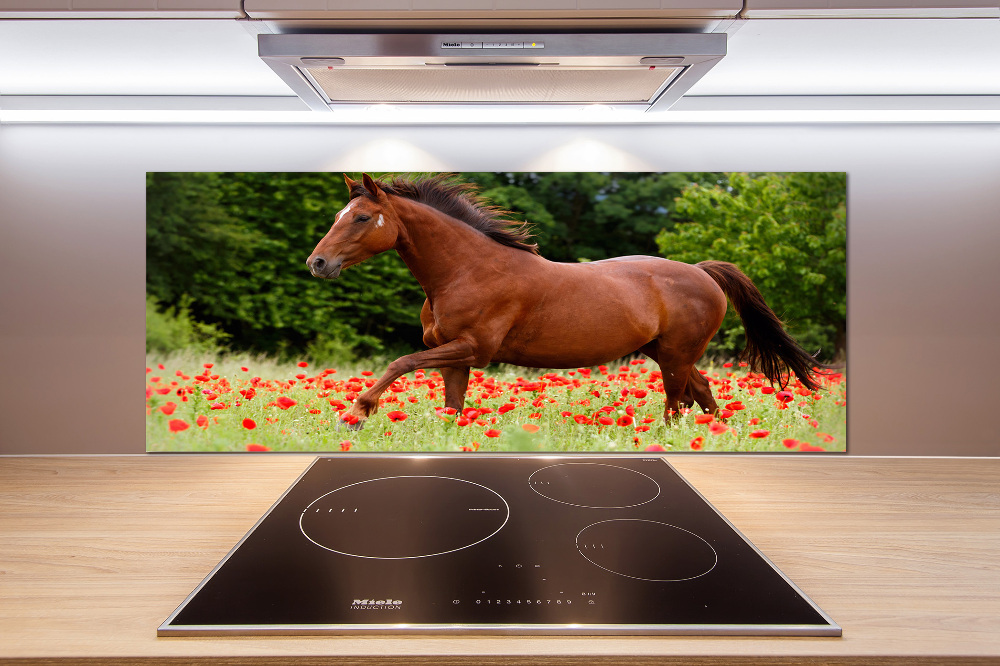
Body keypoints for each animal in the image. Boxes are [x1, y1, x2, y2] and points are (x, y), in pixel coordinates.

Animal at [308, 174, 824, 428]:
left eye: (361, 218)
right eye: (339, 215)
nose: (317, 264)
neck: (466, 270)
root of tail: (701, 272)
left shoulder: (474, 349)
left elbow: (400, 362)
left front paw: (357, 413)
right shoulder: (455, 357)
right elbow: (452, 409)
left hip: (676, 356)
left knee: (677, 403)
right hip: (668, 353)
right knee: (702, 396)